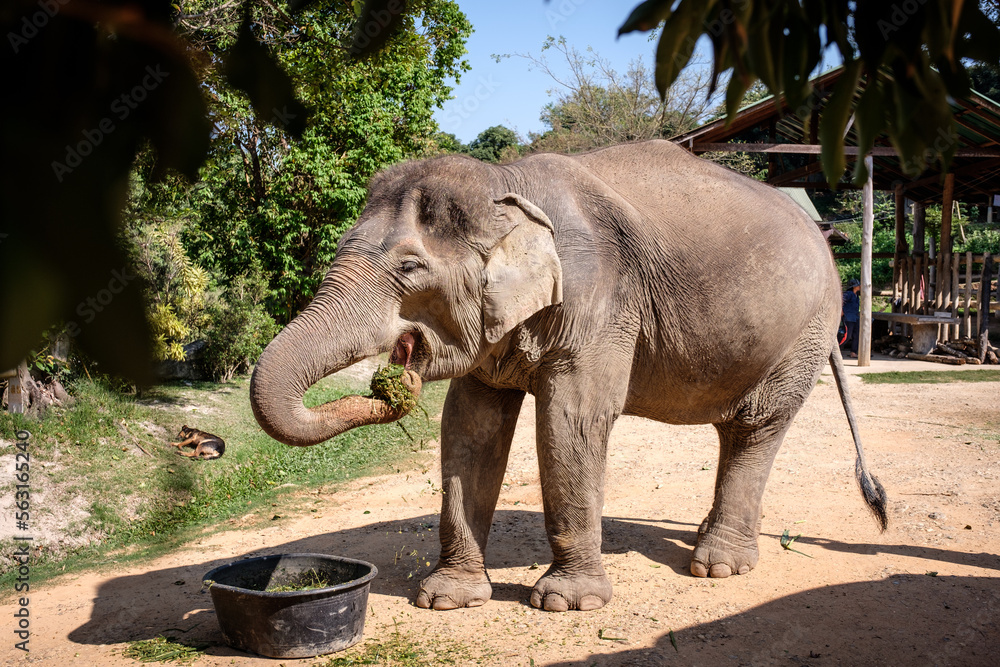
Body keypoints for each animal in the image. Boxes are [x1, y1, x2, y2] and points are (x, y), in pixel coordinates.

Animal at [249, 139, 887, 613]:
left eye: (409, 267)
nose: (395, 380)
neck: (508, 183)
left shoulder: (599, 300)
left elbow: (570, 420)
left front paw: (566, 603)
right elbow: (470, 426)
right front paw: (446, 600)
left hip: (805, 331)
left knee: (757, 426)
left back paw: (717, 567)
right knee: (738, 431)